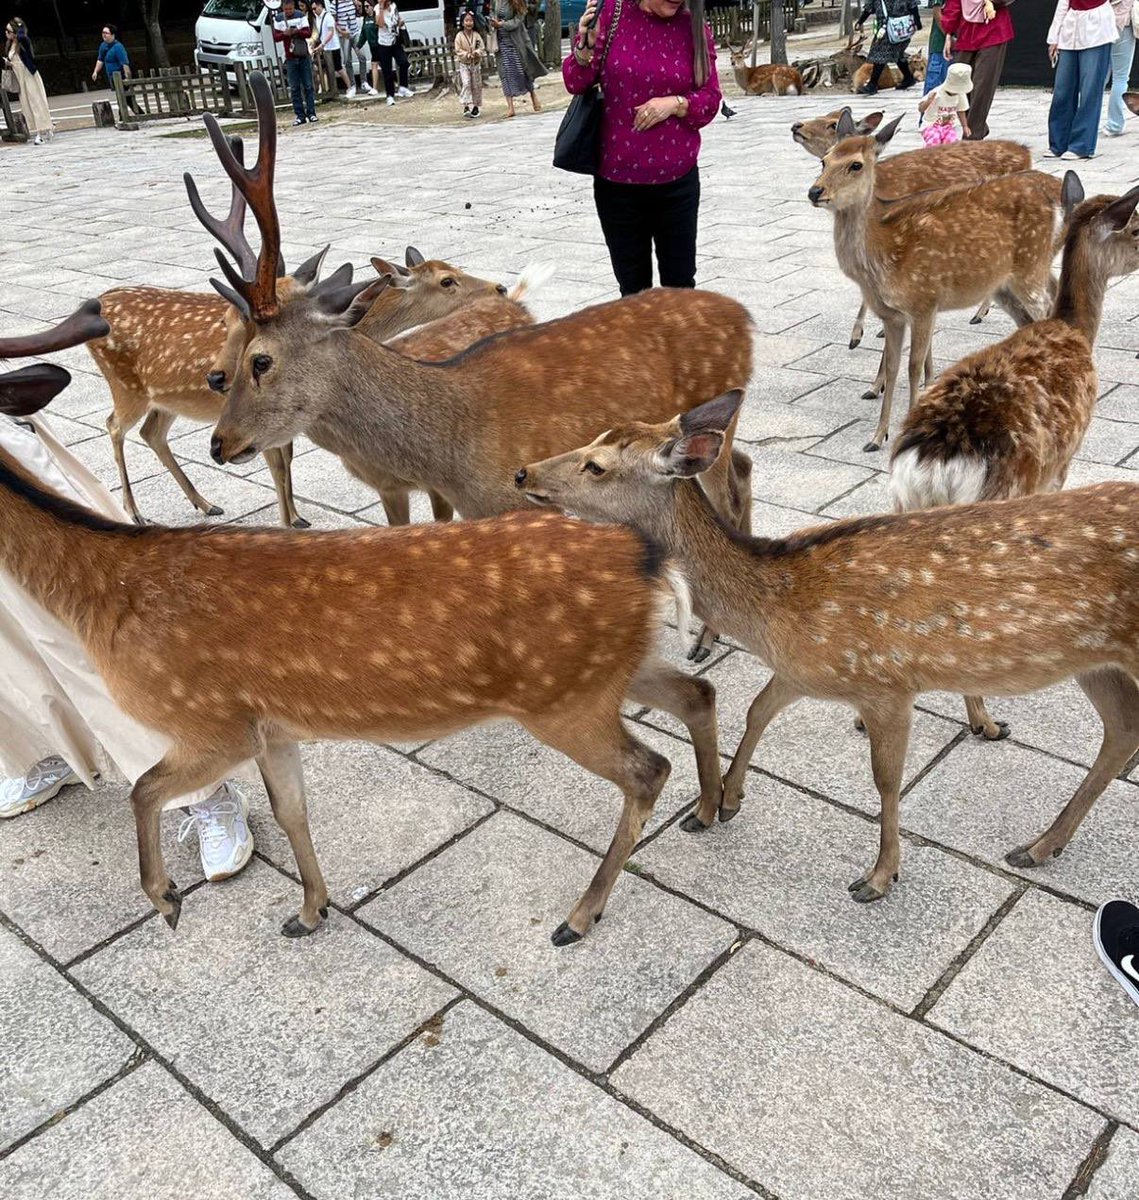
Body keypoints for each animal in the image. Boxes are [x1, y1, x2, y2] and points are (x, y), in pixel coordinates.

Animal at [0, 301, 724, 947]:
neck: (100, 594)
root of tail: (650, 559)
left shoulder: (208, 722)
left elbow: (144, 789)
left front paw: (167, 899)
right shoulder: (268, 725)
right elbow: (290, 810)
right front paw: (309, 911)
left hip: (565, 699)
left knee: (648, 768)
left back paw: (580, 914)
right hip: (608, 671)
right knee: (698, 692)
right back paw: (713, 808)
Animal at [202, 74, 755, 661]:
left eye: (260, 359)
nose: (219, 443)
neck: (453, 445)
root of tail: (745, 317)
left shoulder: (526, 502)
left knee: (724, 497)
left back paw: (707, 639)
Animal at [517, 391, 1139, 904]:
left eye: (596, 465)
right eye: (591, 437)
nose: (523, 471)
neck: (776, 611)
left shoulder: (886, 683)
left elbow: (885, 778)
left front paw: (879, 876)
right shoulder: (806, 671)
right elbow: (757, 708)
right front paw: (724, 803)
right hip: (1094, 657)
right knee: (1121, 729)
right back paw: (1039, 846)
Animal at [888, 175, 1139, 741]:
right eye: (1137, 226)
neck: (1076, 330)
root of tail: (935, 460)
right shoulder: (1063, 460)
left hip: (900, 505)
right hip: (996, 499)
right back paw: (986, 721)